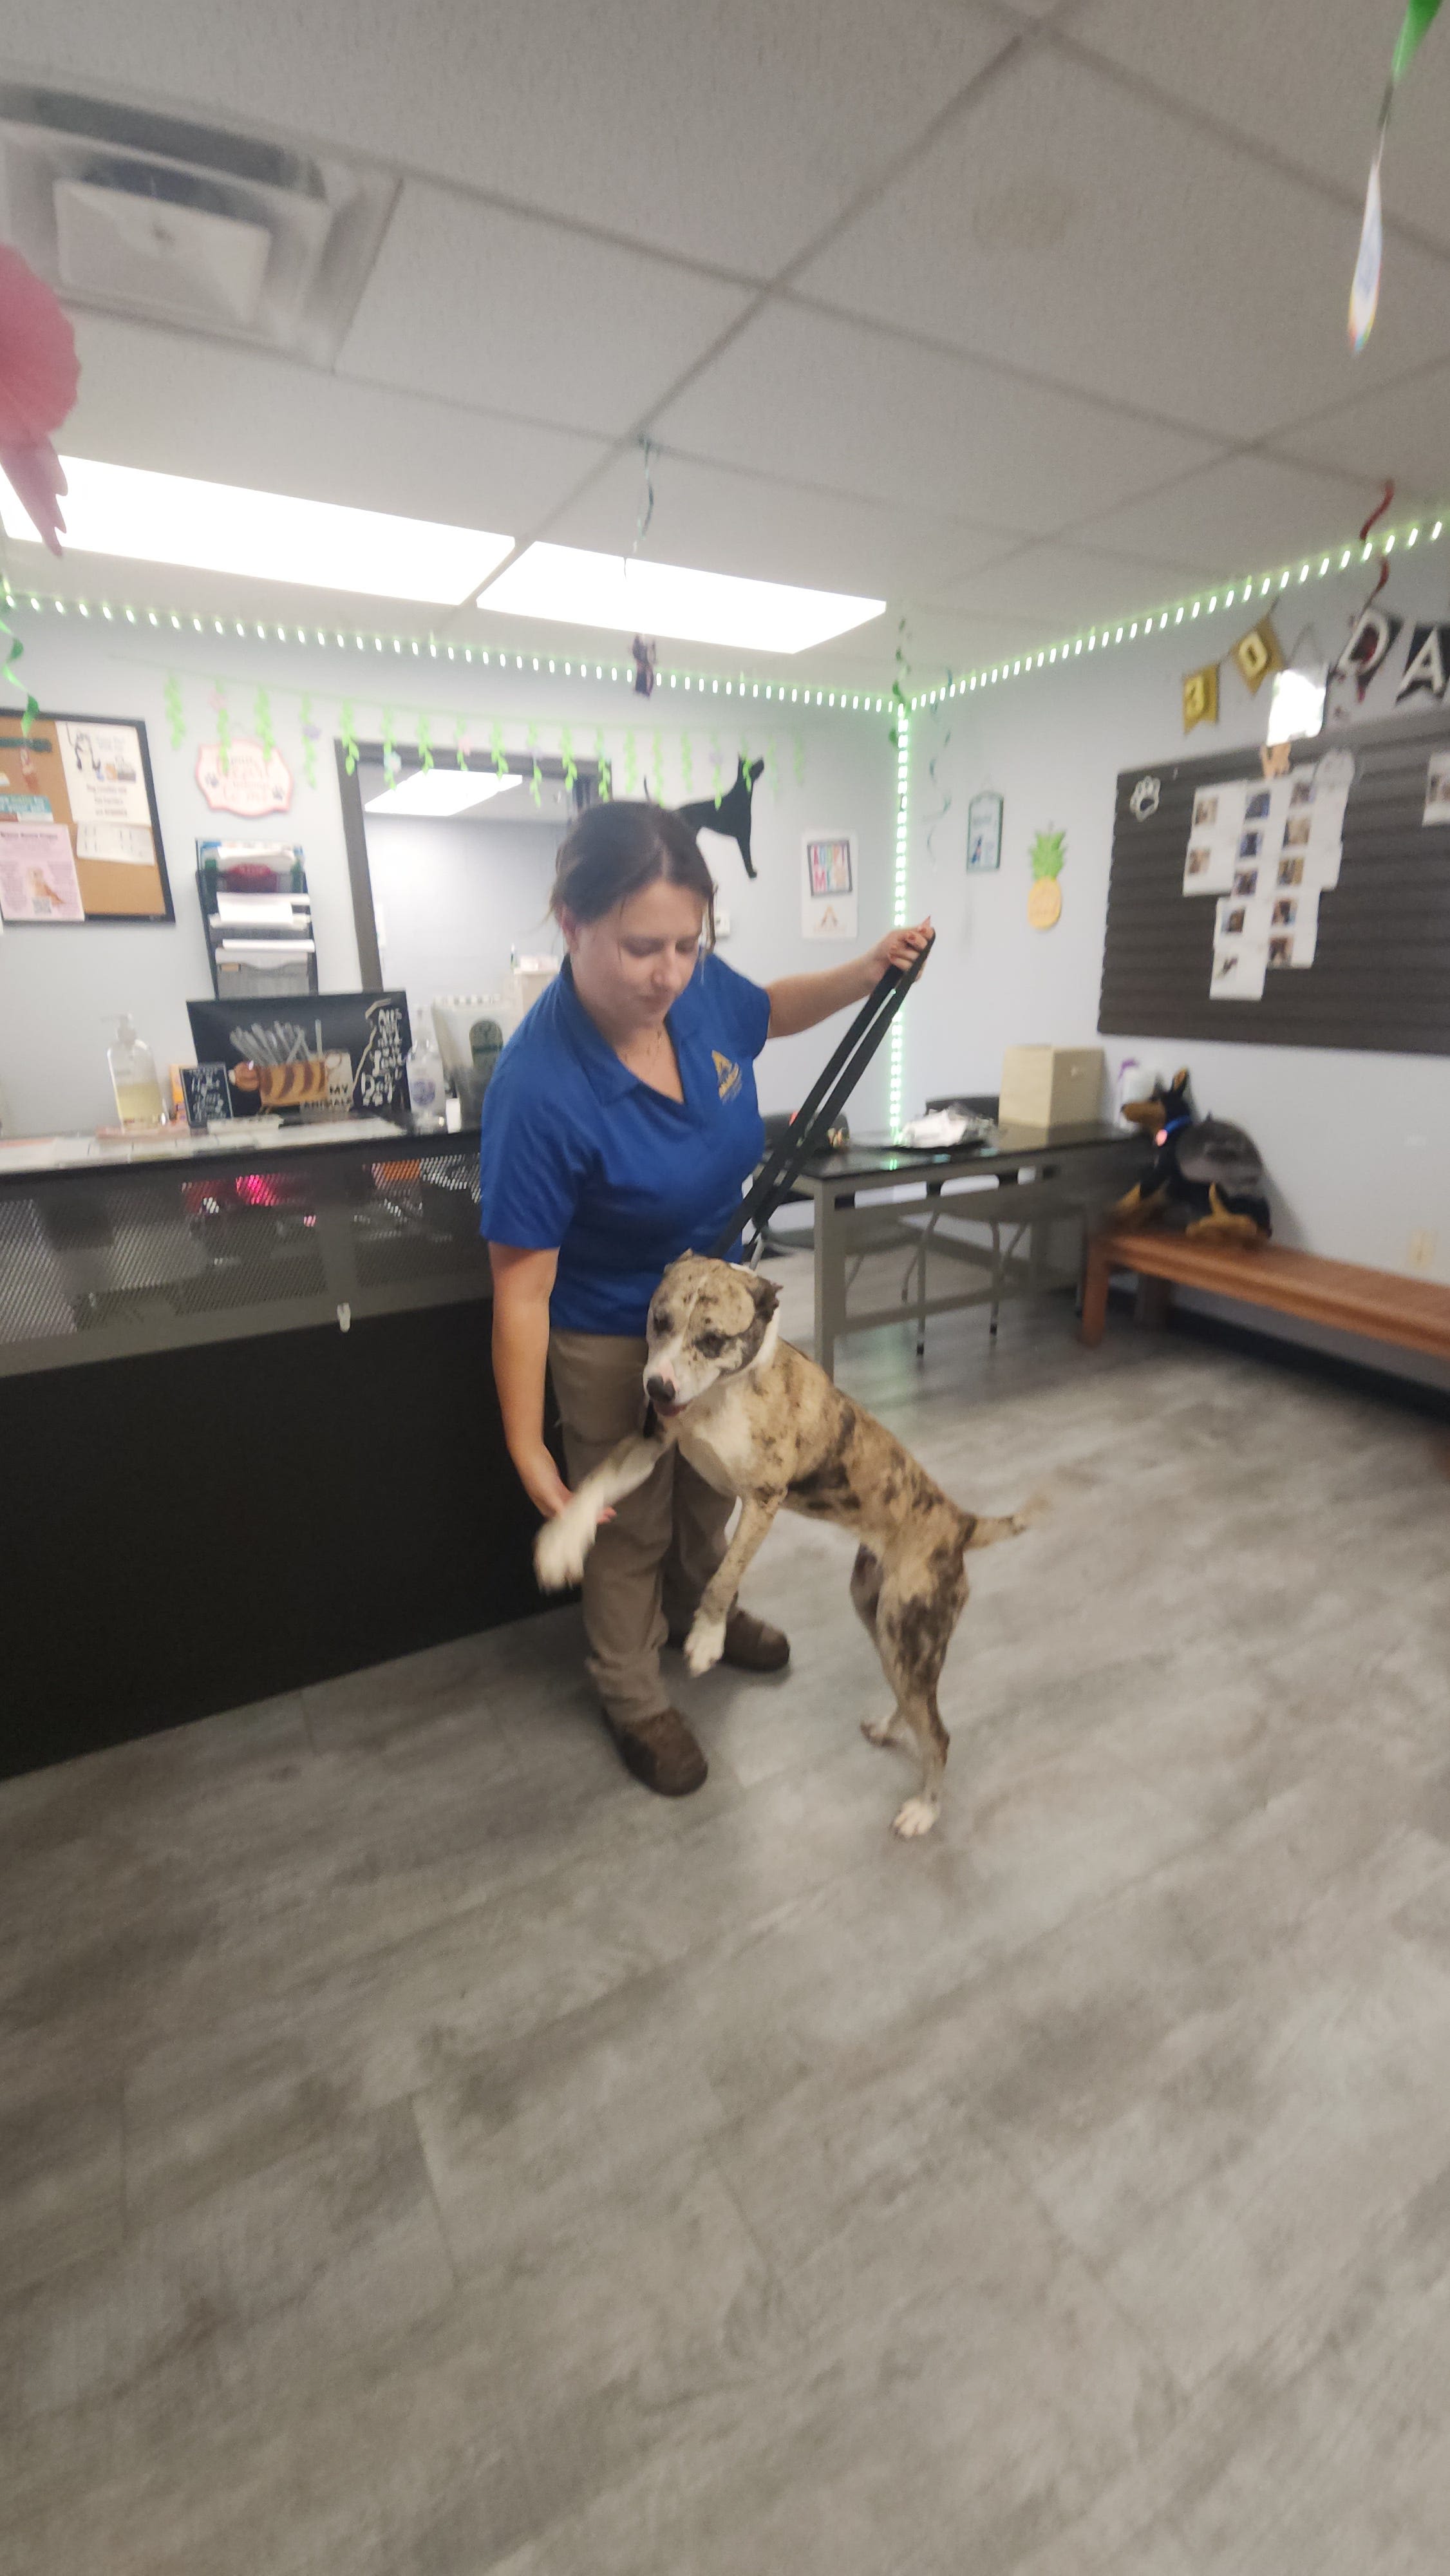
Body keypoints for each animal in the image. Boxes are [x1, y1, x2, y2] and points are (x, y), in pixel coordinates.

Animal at [536, 1252, 1046, 1834]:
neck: (725, 1392)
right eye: (659, 1321)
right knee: (916, 1703)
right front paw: (559, 1544)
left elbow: (724, 1575)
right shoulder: (650, 1444)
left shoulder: (762, 1501)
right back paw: (891, 1728)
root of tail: (958, 1522)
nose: (658, 1389)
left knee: (939, 1733)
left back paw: (924, 1811)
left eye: (713, 1339)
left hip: (912, 1631)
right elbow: (594, 1486)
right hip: (884, 1623)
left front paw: (707, 1639)